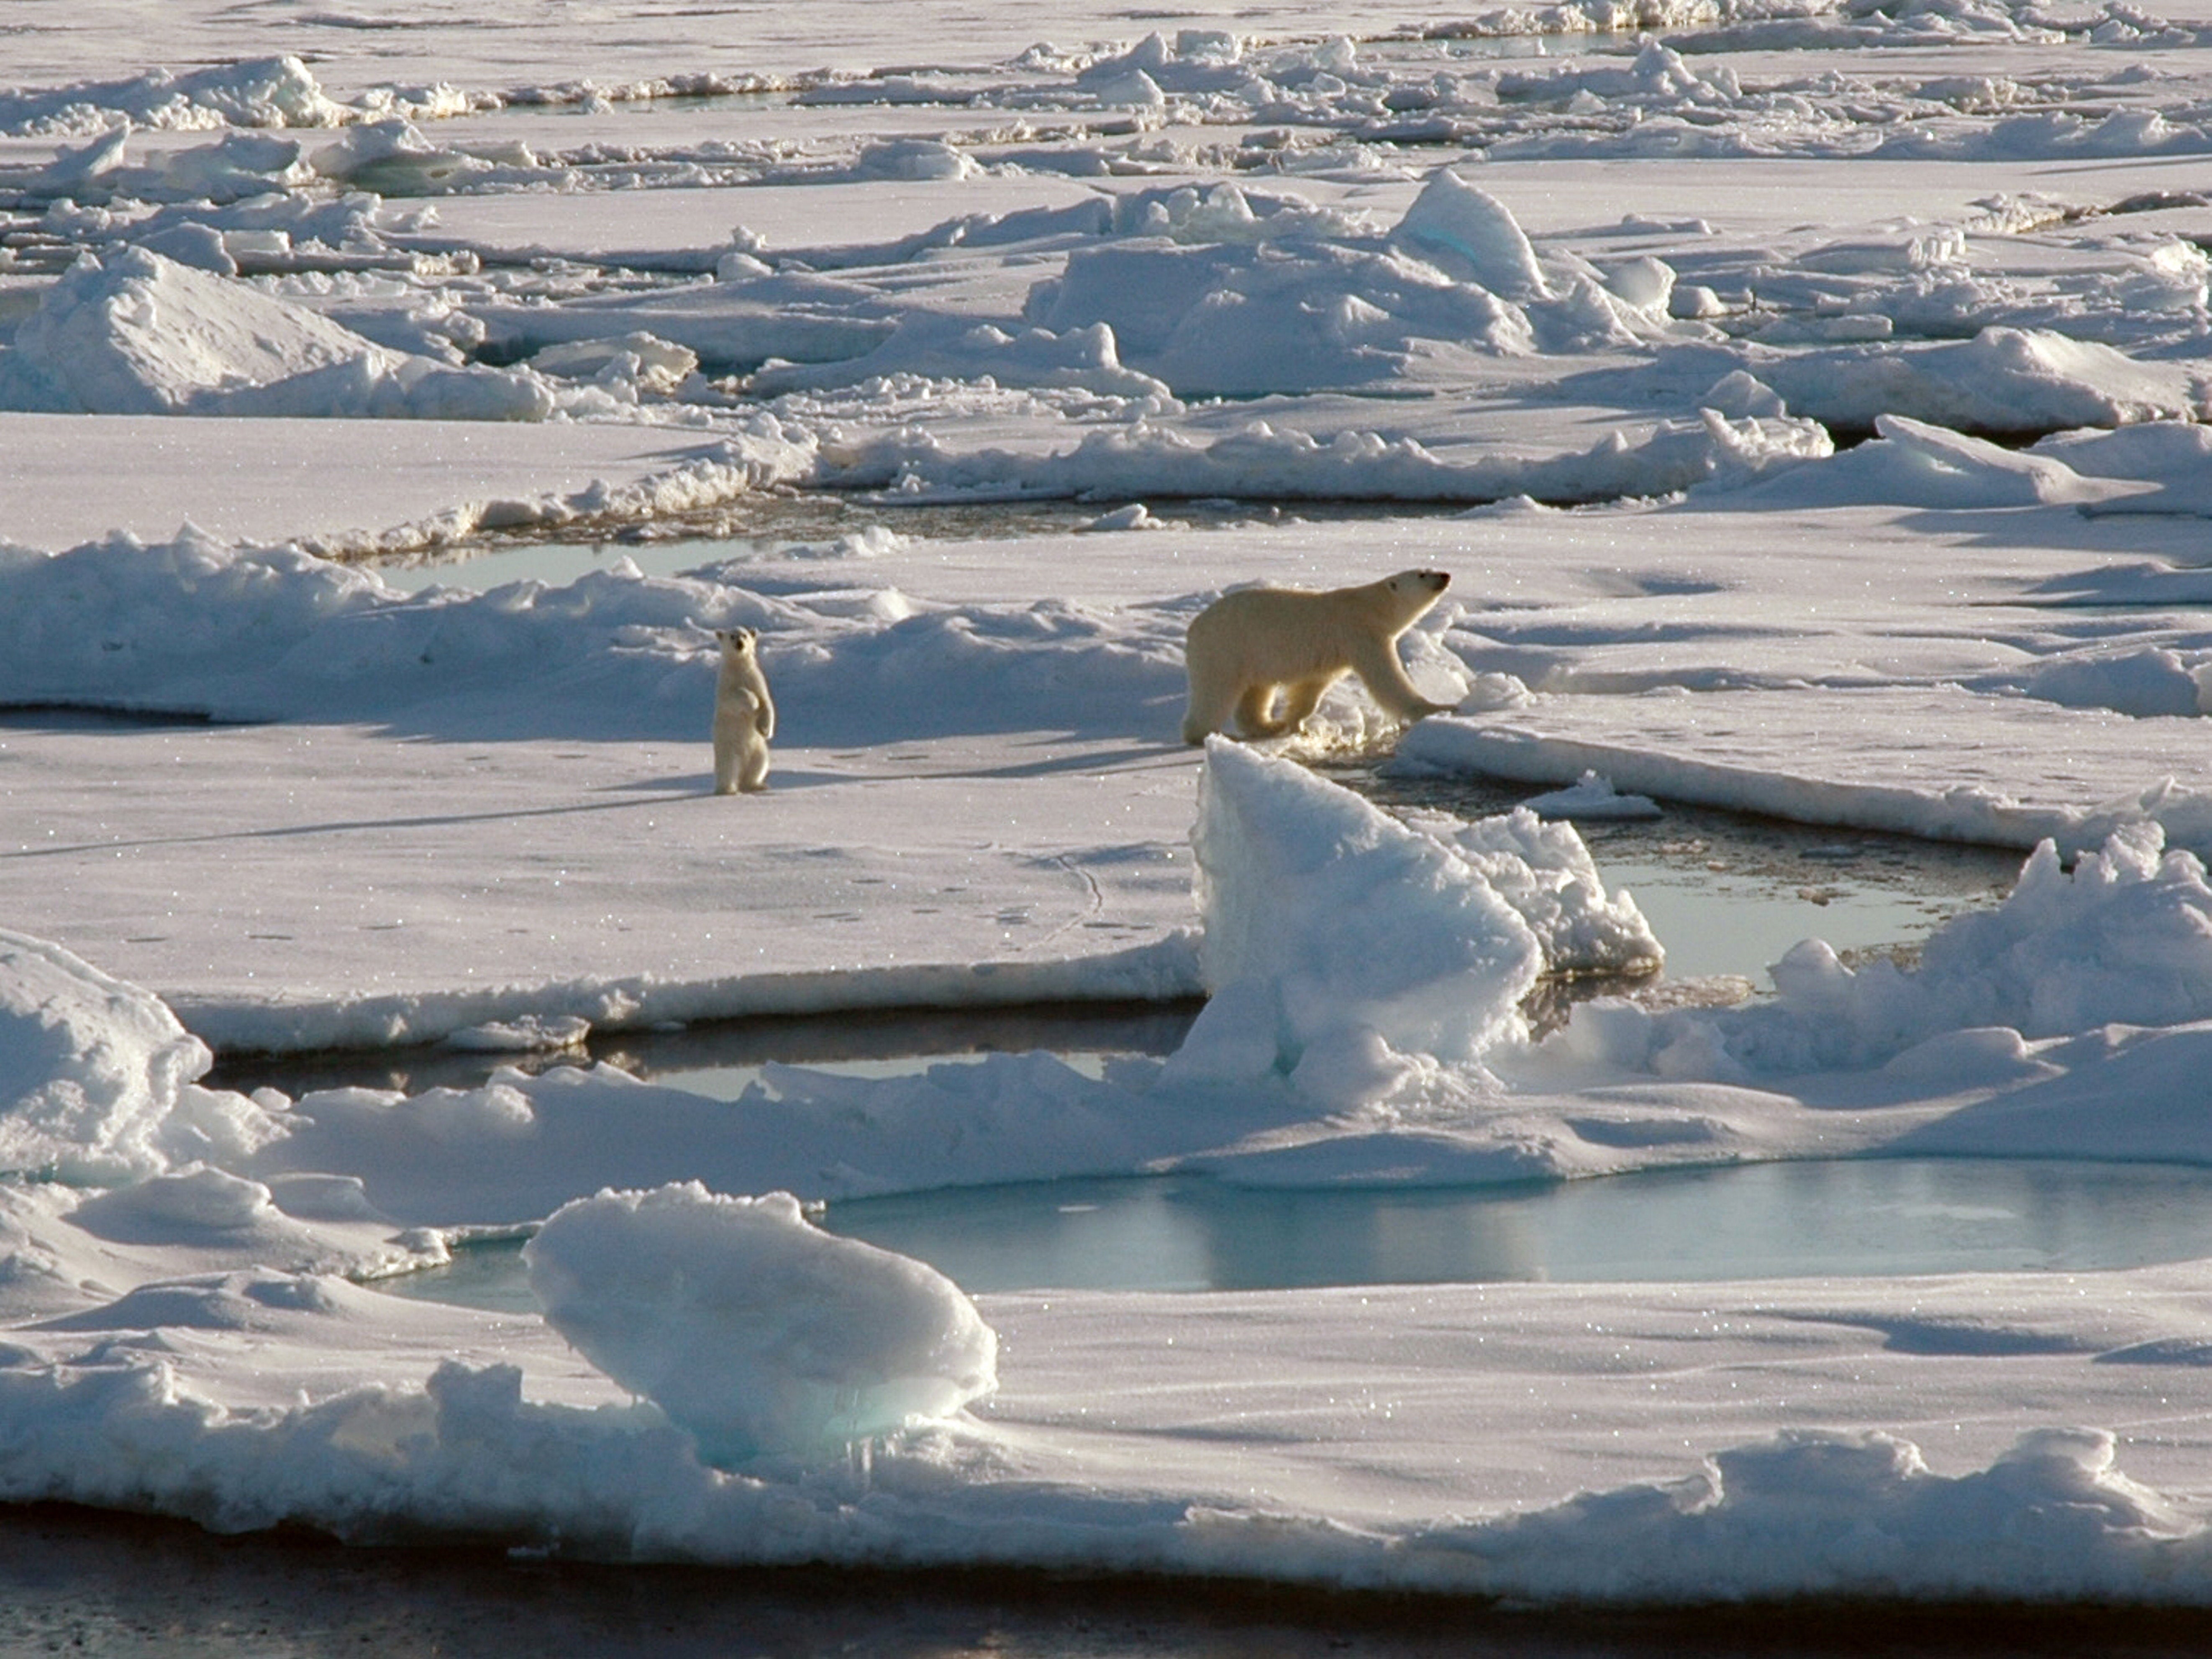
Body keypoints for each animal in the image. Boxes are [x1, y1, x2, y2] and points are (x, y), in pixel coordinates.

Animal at [711, 626, 776, 794]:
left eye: (745, 635)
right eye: (732, 636)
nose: (740, 644)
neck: (739, 667)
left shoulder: (756, 678)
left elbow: (767, 702)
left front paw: (765, 731)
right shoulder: (726, 683)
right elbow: (732, 698)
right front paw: (753, 703)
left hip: (758, 750)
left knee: (759, 764)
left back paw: (758, 785)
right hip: (728, 749)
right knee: (729, 768)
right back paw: (729, 790)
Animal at [1180, 568, 1455, 744]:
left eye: (1429, 568)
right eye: (1422, 574)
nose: (1445, 576)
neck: (1373, 606)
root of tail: (1194, 627)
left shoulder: (1332, 654)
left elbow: (1311, 689)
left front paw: (1295, 724)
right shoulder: (1360, 634)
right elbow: (1387, 680)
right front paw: (1438, 708)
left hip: (1252, 656)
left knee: (1256, 692)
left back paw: (1269, 726)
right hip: (1226, 647)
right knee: (1215, 691)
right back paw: (1208, 735)